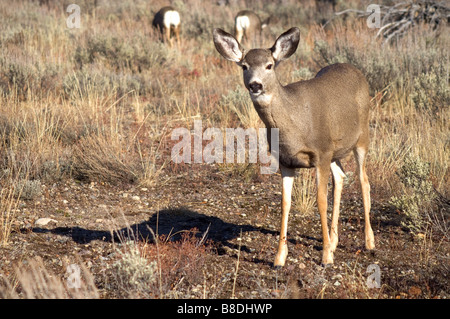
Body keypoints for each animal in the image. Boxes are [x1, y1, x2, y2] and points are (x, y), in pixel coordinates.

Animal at [213, 27, 374, 268]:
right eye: (244, 66)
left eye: (269, 65)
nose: (255, 85)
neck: (294, 126)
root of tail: (354, 69)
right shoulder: (286, 161)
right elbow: (285, 203)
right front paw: (279, 257)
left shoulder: (321, 152)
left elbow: (320, 201)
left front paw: (326, 257)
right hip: (335, 151)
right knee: (341, 177)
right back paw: (335, 241)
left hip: (362, 137)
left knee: (364, 180)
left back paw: (368, 241)